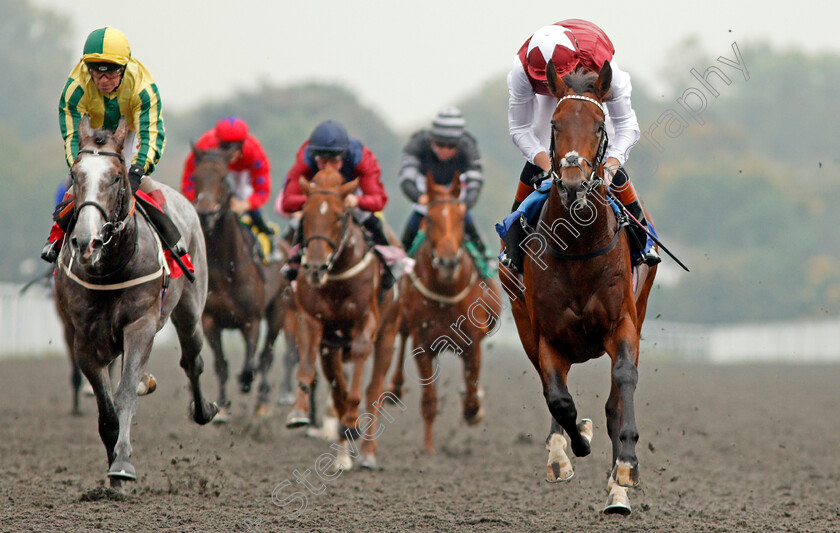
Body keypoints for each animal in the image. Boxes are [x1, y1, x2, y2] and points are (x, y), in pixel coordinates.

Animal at [54, 116, 218, 490]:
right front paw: (113, 469)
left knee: (193, 360)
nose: (86, 241)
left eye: (116, 176)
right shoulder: (83, 339)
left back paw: (203, 410)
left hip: (191, 311)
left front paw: (123, 464)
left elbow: (126, 393)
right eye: (75, 175)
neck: (111, 268)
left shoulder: (140, 325)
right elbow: (106, 410)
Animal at [191, 147, 298, 420]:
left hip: (279, 310)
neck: (226, 266)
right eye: (196, 177)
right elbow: (221, 365)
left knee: (267, 356)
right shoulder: (210, 321)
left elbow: (252, 364)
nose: (206, 211)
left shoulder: (252, 319)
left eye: (223, 178)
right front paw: (221, 407)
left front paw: (247, 383)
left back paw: (262, 402)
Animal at [288, 169, 404, 470]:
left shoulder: (367, 321)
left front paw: (352, 420)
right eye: (305, 215)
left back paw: (367, 452)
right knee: (337, 386)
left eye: (340, 216)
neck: (338, 277)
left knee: (375, 389)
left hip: (389, 333)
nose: (315, 268)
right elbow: (309, 368)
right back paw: (343, 452)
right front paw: (298, 412)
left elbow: (359, 380)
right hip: (333, 348)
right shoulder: (312, 322)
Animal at [392, 172, 502, 450]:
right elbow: (429, 402)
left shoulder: (472, 343)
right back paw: (395, 387)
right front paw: (429, 449)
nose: (448, 261)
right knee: (401, 335)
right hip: (404, 318)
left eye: (461, 218)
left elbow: (472, 398)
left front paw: (475, 409)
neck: (446, 291)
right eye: (430, 218)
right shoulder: (423, 344)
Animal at [498, 63, 656, 516]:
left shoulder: (623, 323)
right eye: (555, 123)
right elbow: (559, 399)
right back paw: (560, 454)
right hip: (525, 324)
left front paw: (625, 468)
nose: (571, 183)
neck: (579, 244)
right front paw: (574, 443)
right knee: (553, 389)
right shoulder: (547, 334)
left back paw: (617, 489)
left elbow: (622, 383)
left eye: (599, 125)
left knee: (614, 400)